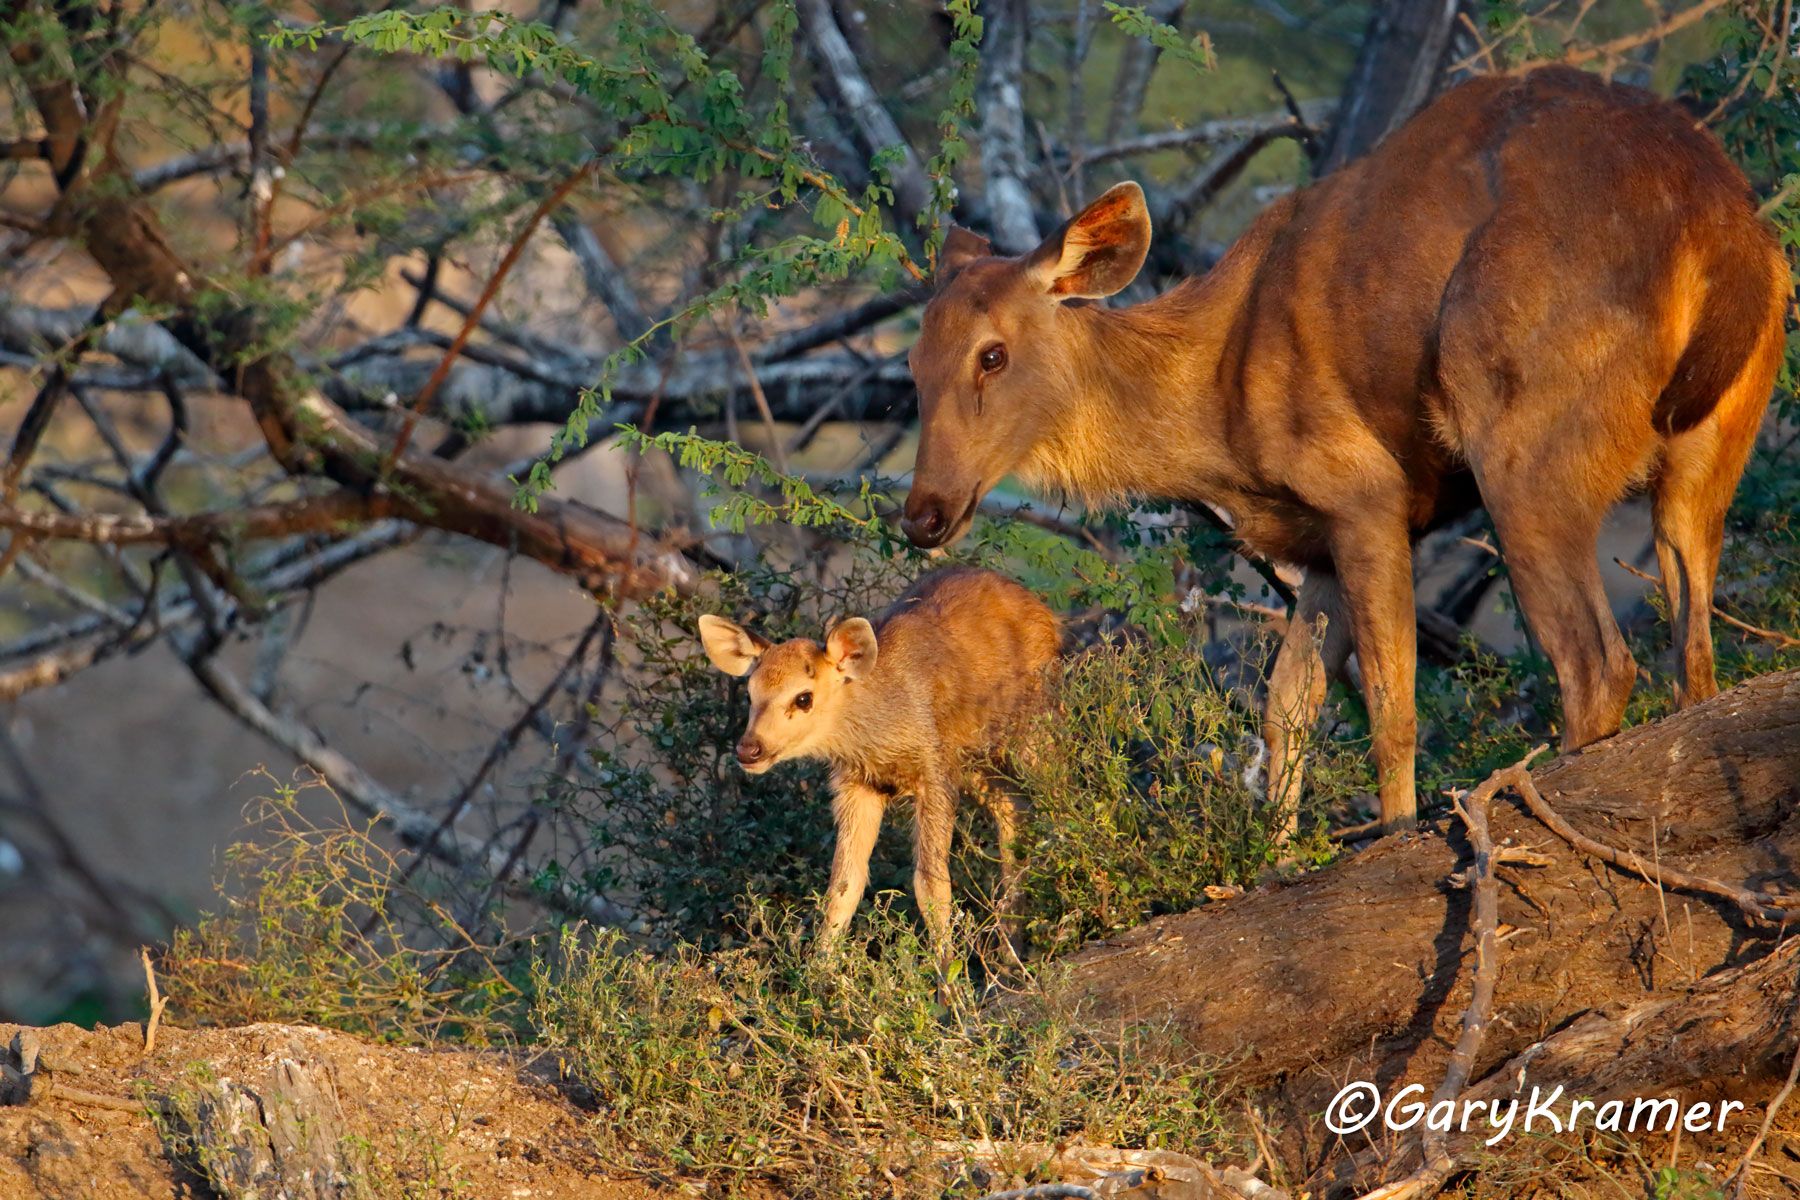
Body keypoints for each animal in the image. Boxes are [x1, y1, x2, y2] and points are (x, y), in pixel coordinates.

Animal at [698, 566, 1061, 947]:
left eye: (803, 698)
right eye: (750, 694)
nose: (748, 749)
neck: (882, 732)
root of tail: (1044, 610)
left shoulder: (935, 770)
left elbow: (932, 886)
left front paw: (948, 963)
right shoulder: (856, 785)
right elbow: (843, 888)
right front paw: (820, 962)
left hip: (1036, 725)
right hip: (975, 761)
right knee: (1014, 806)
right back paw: (1011, 944)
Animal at [899, 65, 1788, 836]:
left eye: (992, 354)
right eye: (911, 365)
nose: (924, 514)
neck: (1219, 404)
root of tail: (1726, 230)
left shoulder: (1364, 490)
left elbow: (1391, 709)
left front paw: (1386, 834)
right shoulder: (1316, 540)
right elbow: (1285, 708)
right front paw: (1278, 854)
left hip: (1527, 438)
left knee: (1595, 662)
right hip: (1711, 447)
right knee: (1694, 651)